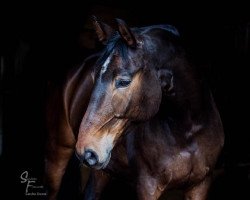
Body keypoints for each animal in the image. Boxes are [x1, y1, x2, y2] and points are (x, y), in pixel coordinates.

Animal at [44, 16, 225, 200]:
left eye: (124, 81)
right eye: (93, 76)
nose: (86, 151)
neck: (188, 131)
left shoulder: (200, 185)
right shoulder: (148, 186)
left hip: (102, 171)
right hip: (57, 153)